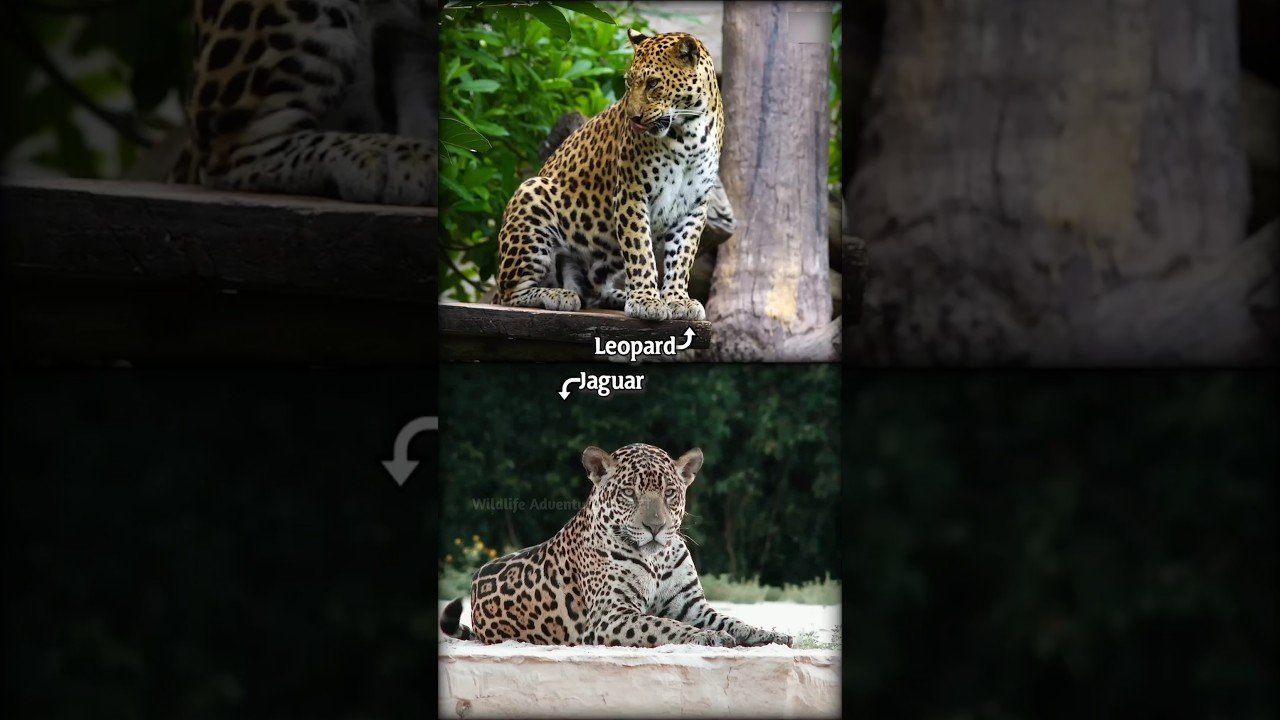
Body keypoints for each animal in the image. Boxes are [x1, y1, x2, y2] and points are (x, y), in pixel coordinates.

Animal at [439, 443, 794, 648]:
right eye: (629, 494)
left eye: (669, 493)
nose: (656, 527)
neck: (658, 560)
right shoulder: (611, 615)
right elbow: (663, 625)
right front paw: (709, 636)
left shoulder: (691, 606)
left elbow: (733, 620)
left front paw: (770, 633)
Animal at [495, 30, 724, 322]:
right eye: (628, 83)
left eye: (653, 83)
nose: (633, 118)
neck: (690, 131)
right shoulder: (632, 193)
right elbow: (640, 251)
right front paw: (646, 300)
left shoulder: (694, 205)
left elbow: (682, 256)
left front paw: (676, 299)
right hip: (531, 195)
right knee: (510, 293)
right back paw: (558, 295)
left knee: (592, 291)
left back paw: (615, 295)